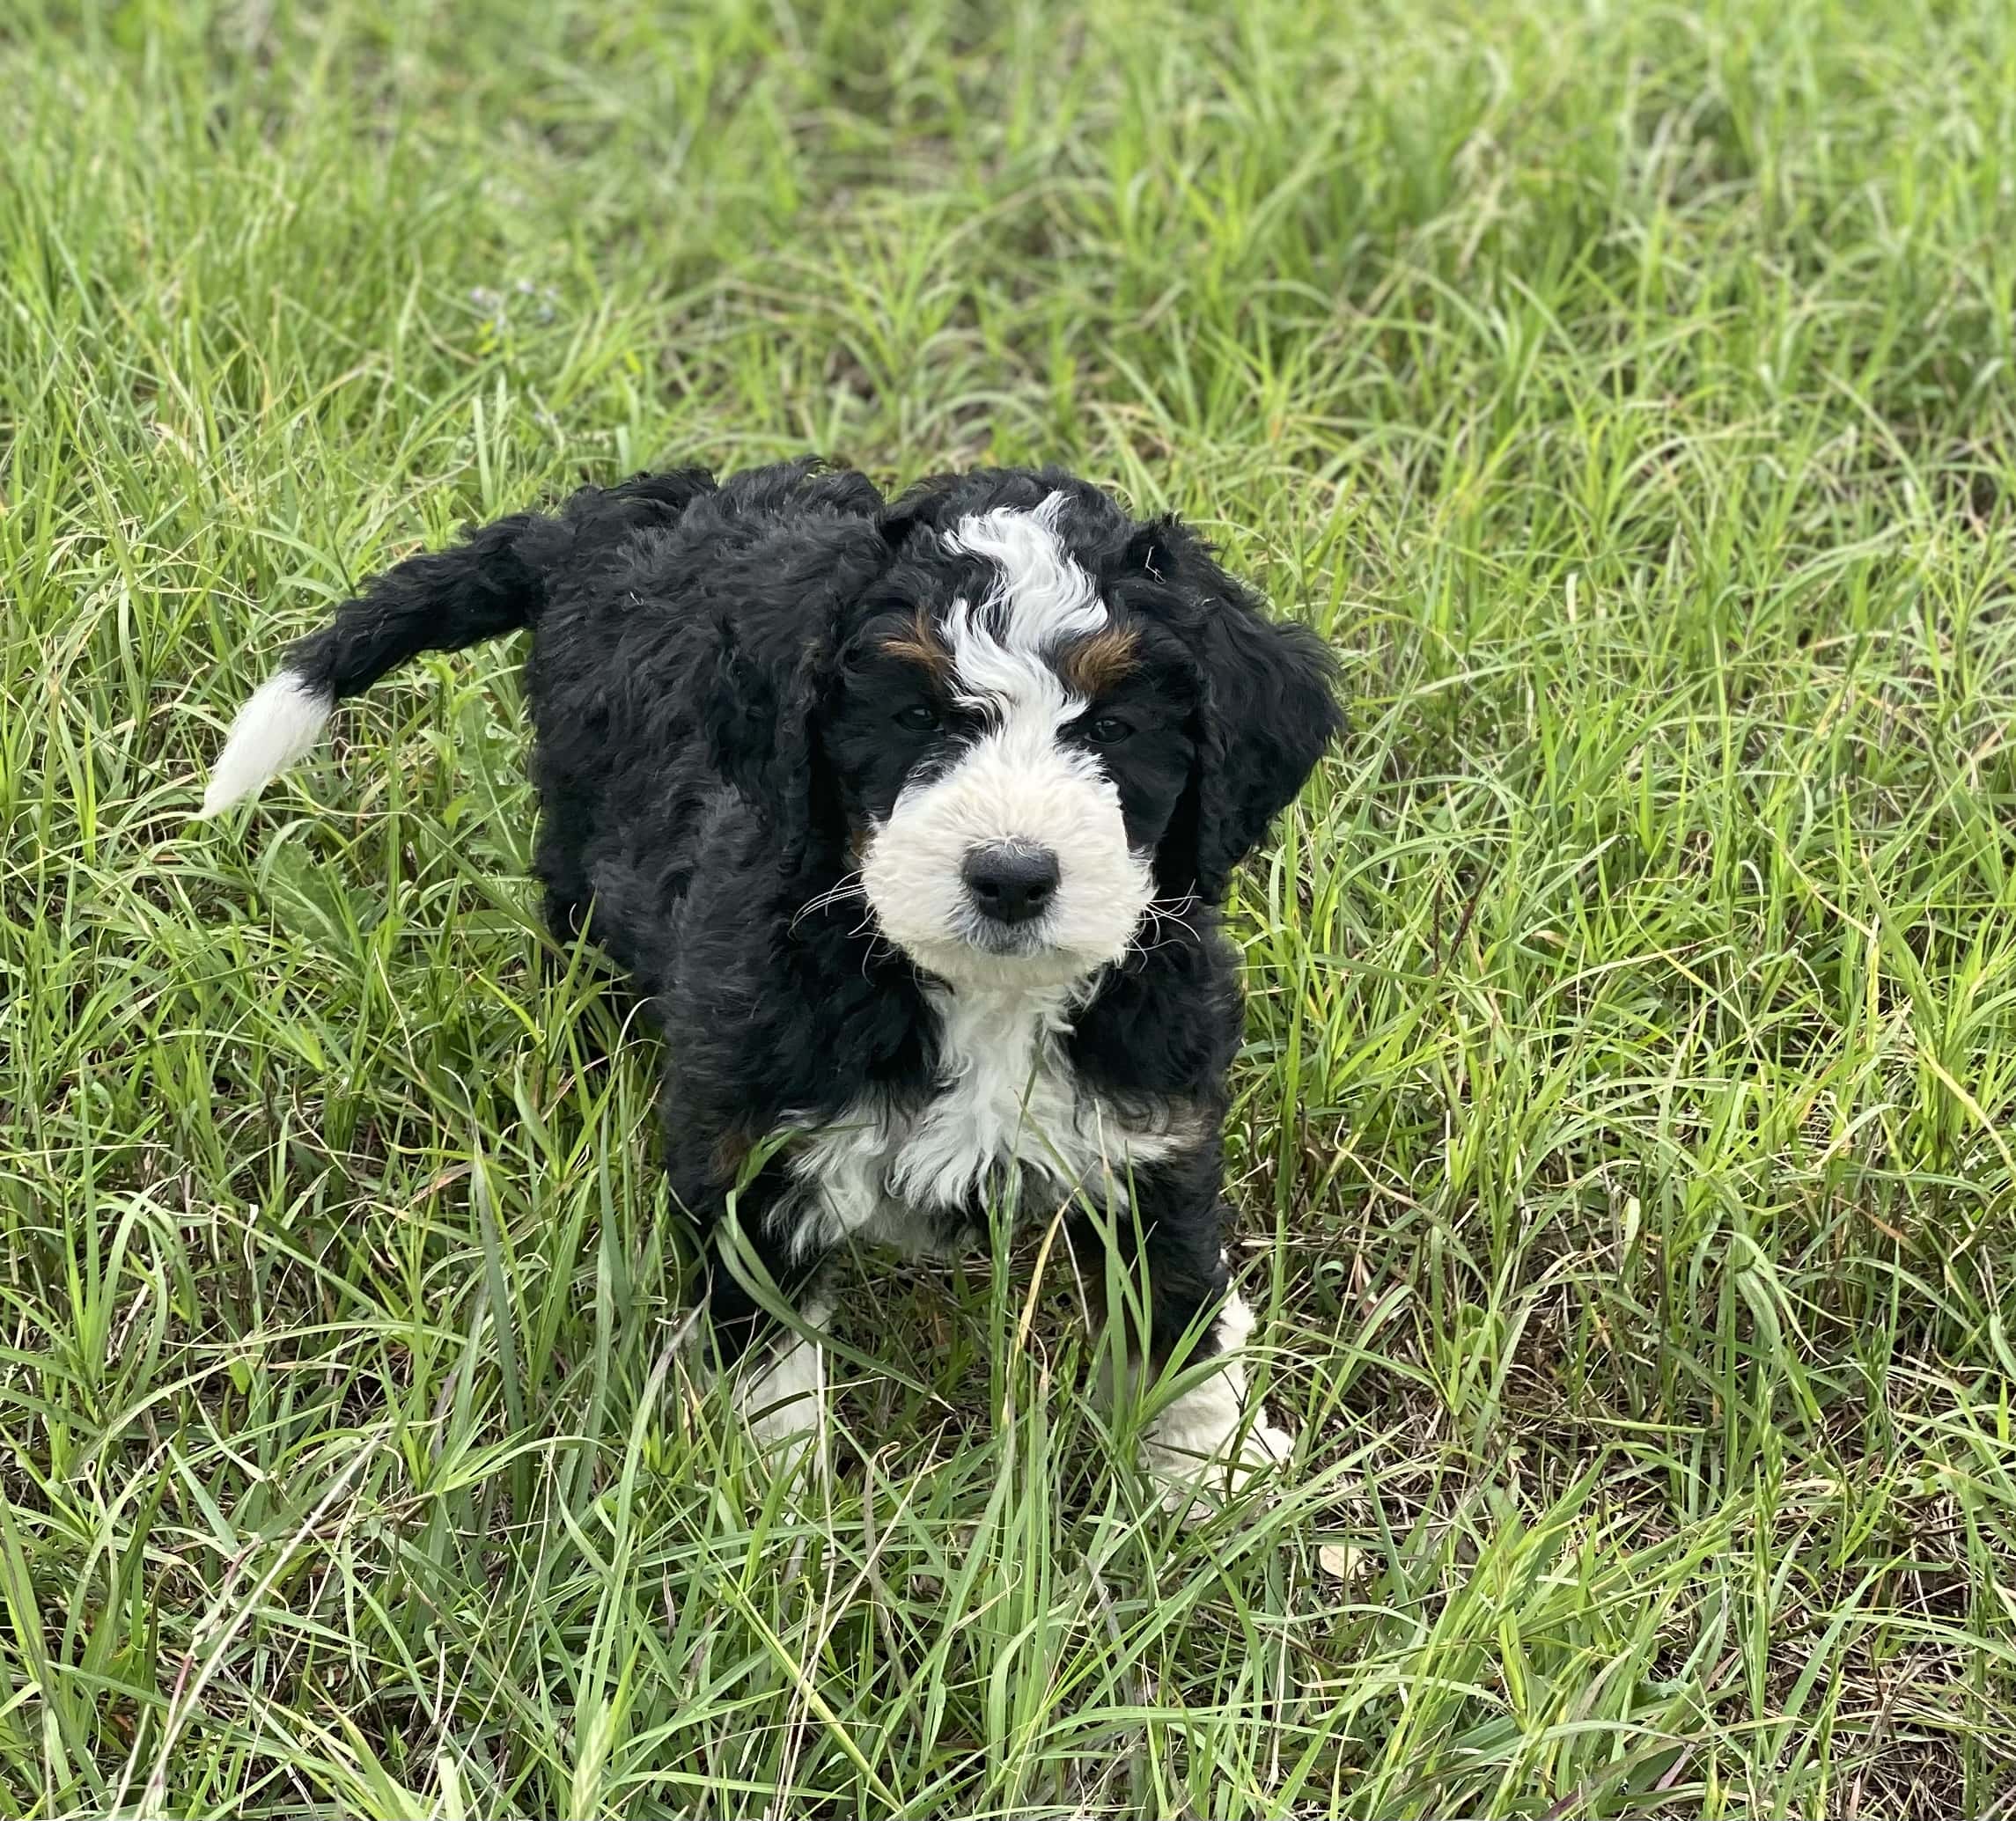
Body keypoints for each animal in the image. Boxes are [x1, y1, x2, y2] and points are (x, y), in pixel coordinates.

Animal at [200, 463, 1338, 1500]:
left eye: (1112, 728)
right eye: (915, 717)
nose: (1012, 874)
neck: (978, 995)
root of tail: (602, 517)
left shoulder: (1153, 1130)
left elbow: (1178, 1309)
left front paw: (1207, 1474)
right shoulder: (753, 1148)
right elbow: (768, 1349)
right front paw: (771, 1506)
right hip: (584, 855)